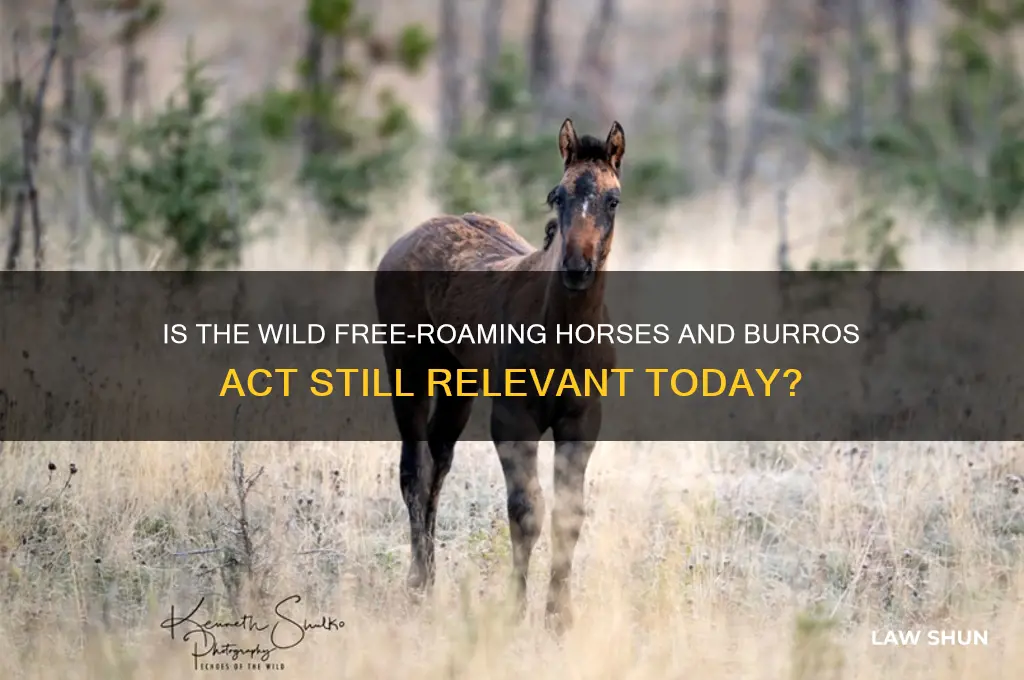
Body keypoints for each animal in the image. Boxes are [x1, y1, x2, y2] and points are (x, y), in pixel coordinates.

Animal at [373, 118, 625, 633]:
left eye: (613, 200)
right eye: (557, 196)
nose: (577, 268)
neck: (563, 329)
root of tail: (403, 242)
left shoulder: (581, 420)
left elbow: (568, 514)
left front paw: (559, 616)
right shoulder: (513, 418)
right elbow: (526, 510)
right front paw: (514, 609)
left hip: (457, 384)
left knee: (437, 464)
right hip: (408, 369)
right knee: (413, 470)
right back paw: (418, 583)